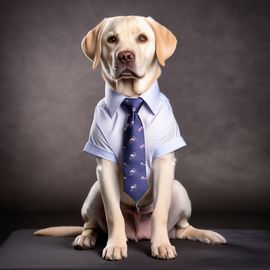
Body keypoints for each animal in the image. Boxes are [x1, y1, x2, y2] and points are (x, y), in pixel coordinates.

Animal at [34, 15, 227, 260]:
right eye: (111, 39)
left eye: (142, 38)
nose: (125, 55)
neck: (132, 98)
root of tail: (137, 233)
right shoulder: (104, 165)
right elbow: (113, 213)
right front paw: (115, 245)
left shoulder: (164, 162)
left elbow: (160, 212)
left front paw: (161, 245)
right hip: (94, 192)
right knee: (91, 225)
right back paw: (86, 238)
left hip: (179, 190)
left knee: (182, 229)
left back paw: (206, 234)